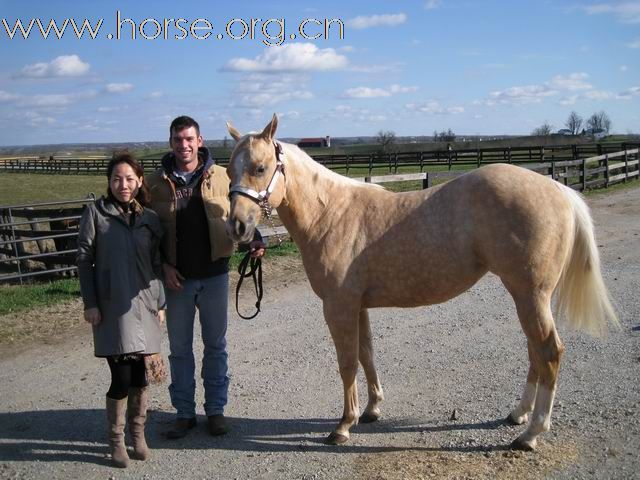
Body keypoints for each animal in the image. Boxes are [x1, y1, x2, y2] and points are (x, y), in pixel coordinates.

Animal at [226, 115, 620, 450]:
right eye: (228, 170)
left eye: (260, 168)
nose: (237, 227)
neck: (331, 214)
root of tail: (559, 190)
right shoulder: (358, 305)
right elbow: (367, 354)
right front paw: (372, 410)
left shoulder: (338, 306)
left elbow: (347, 362)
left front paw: (343, 425)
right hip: (527, 296)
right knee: (535, 353)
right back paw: (517, 415)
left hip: (530, 295)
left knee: (549, 353)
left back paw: (531, 434)